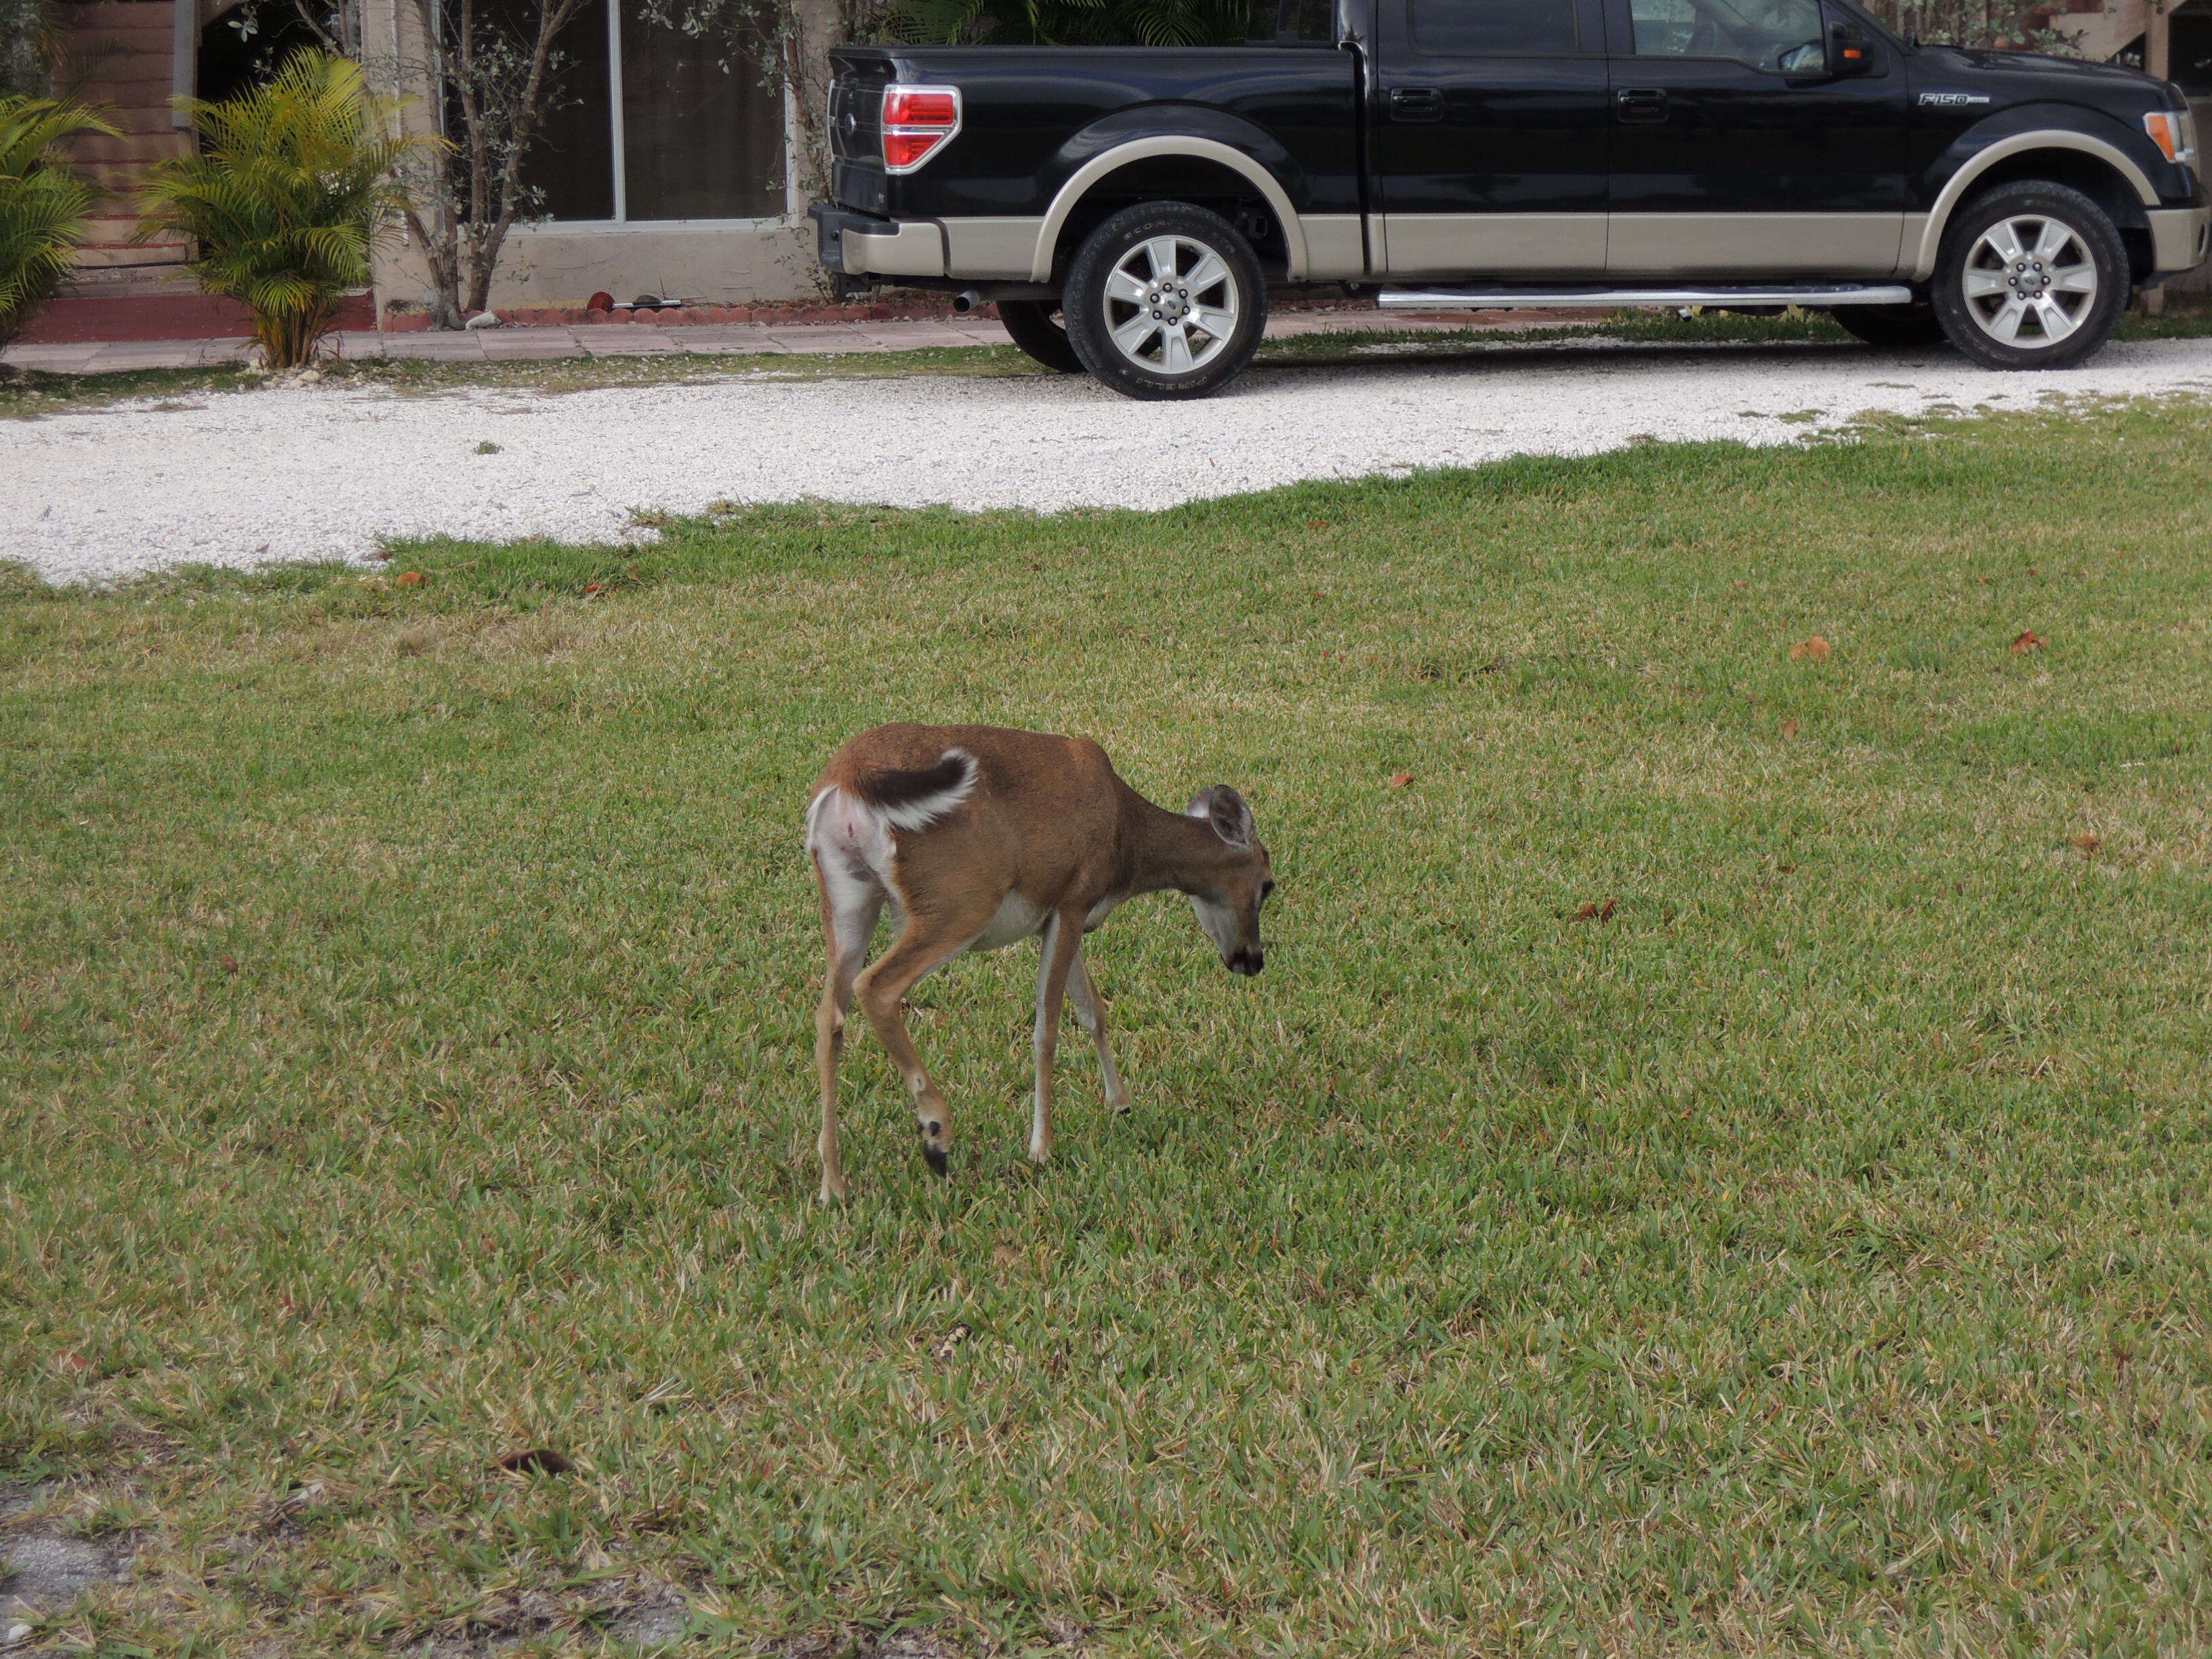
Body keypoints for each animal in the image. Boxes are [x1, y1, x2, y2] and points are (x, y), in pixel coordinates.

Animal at [805, 721, 1274, 1203]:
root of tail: (846, 782)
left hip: (848, 897)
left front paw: (1121, 1104)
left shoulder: (1059, 917)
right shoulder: (1073, 898)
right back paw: (936, 1136)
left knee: (828, 1016)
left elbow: (1093, 1010)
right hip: (959, 900)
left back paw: (833, 1185)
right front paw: (1041, 1148)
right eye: (1268, 884)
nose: (1252, 960)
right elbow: (1047, 1028)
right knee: (875, 987)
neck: (1125, 840)